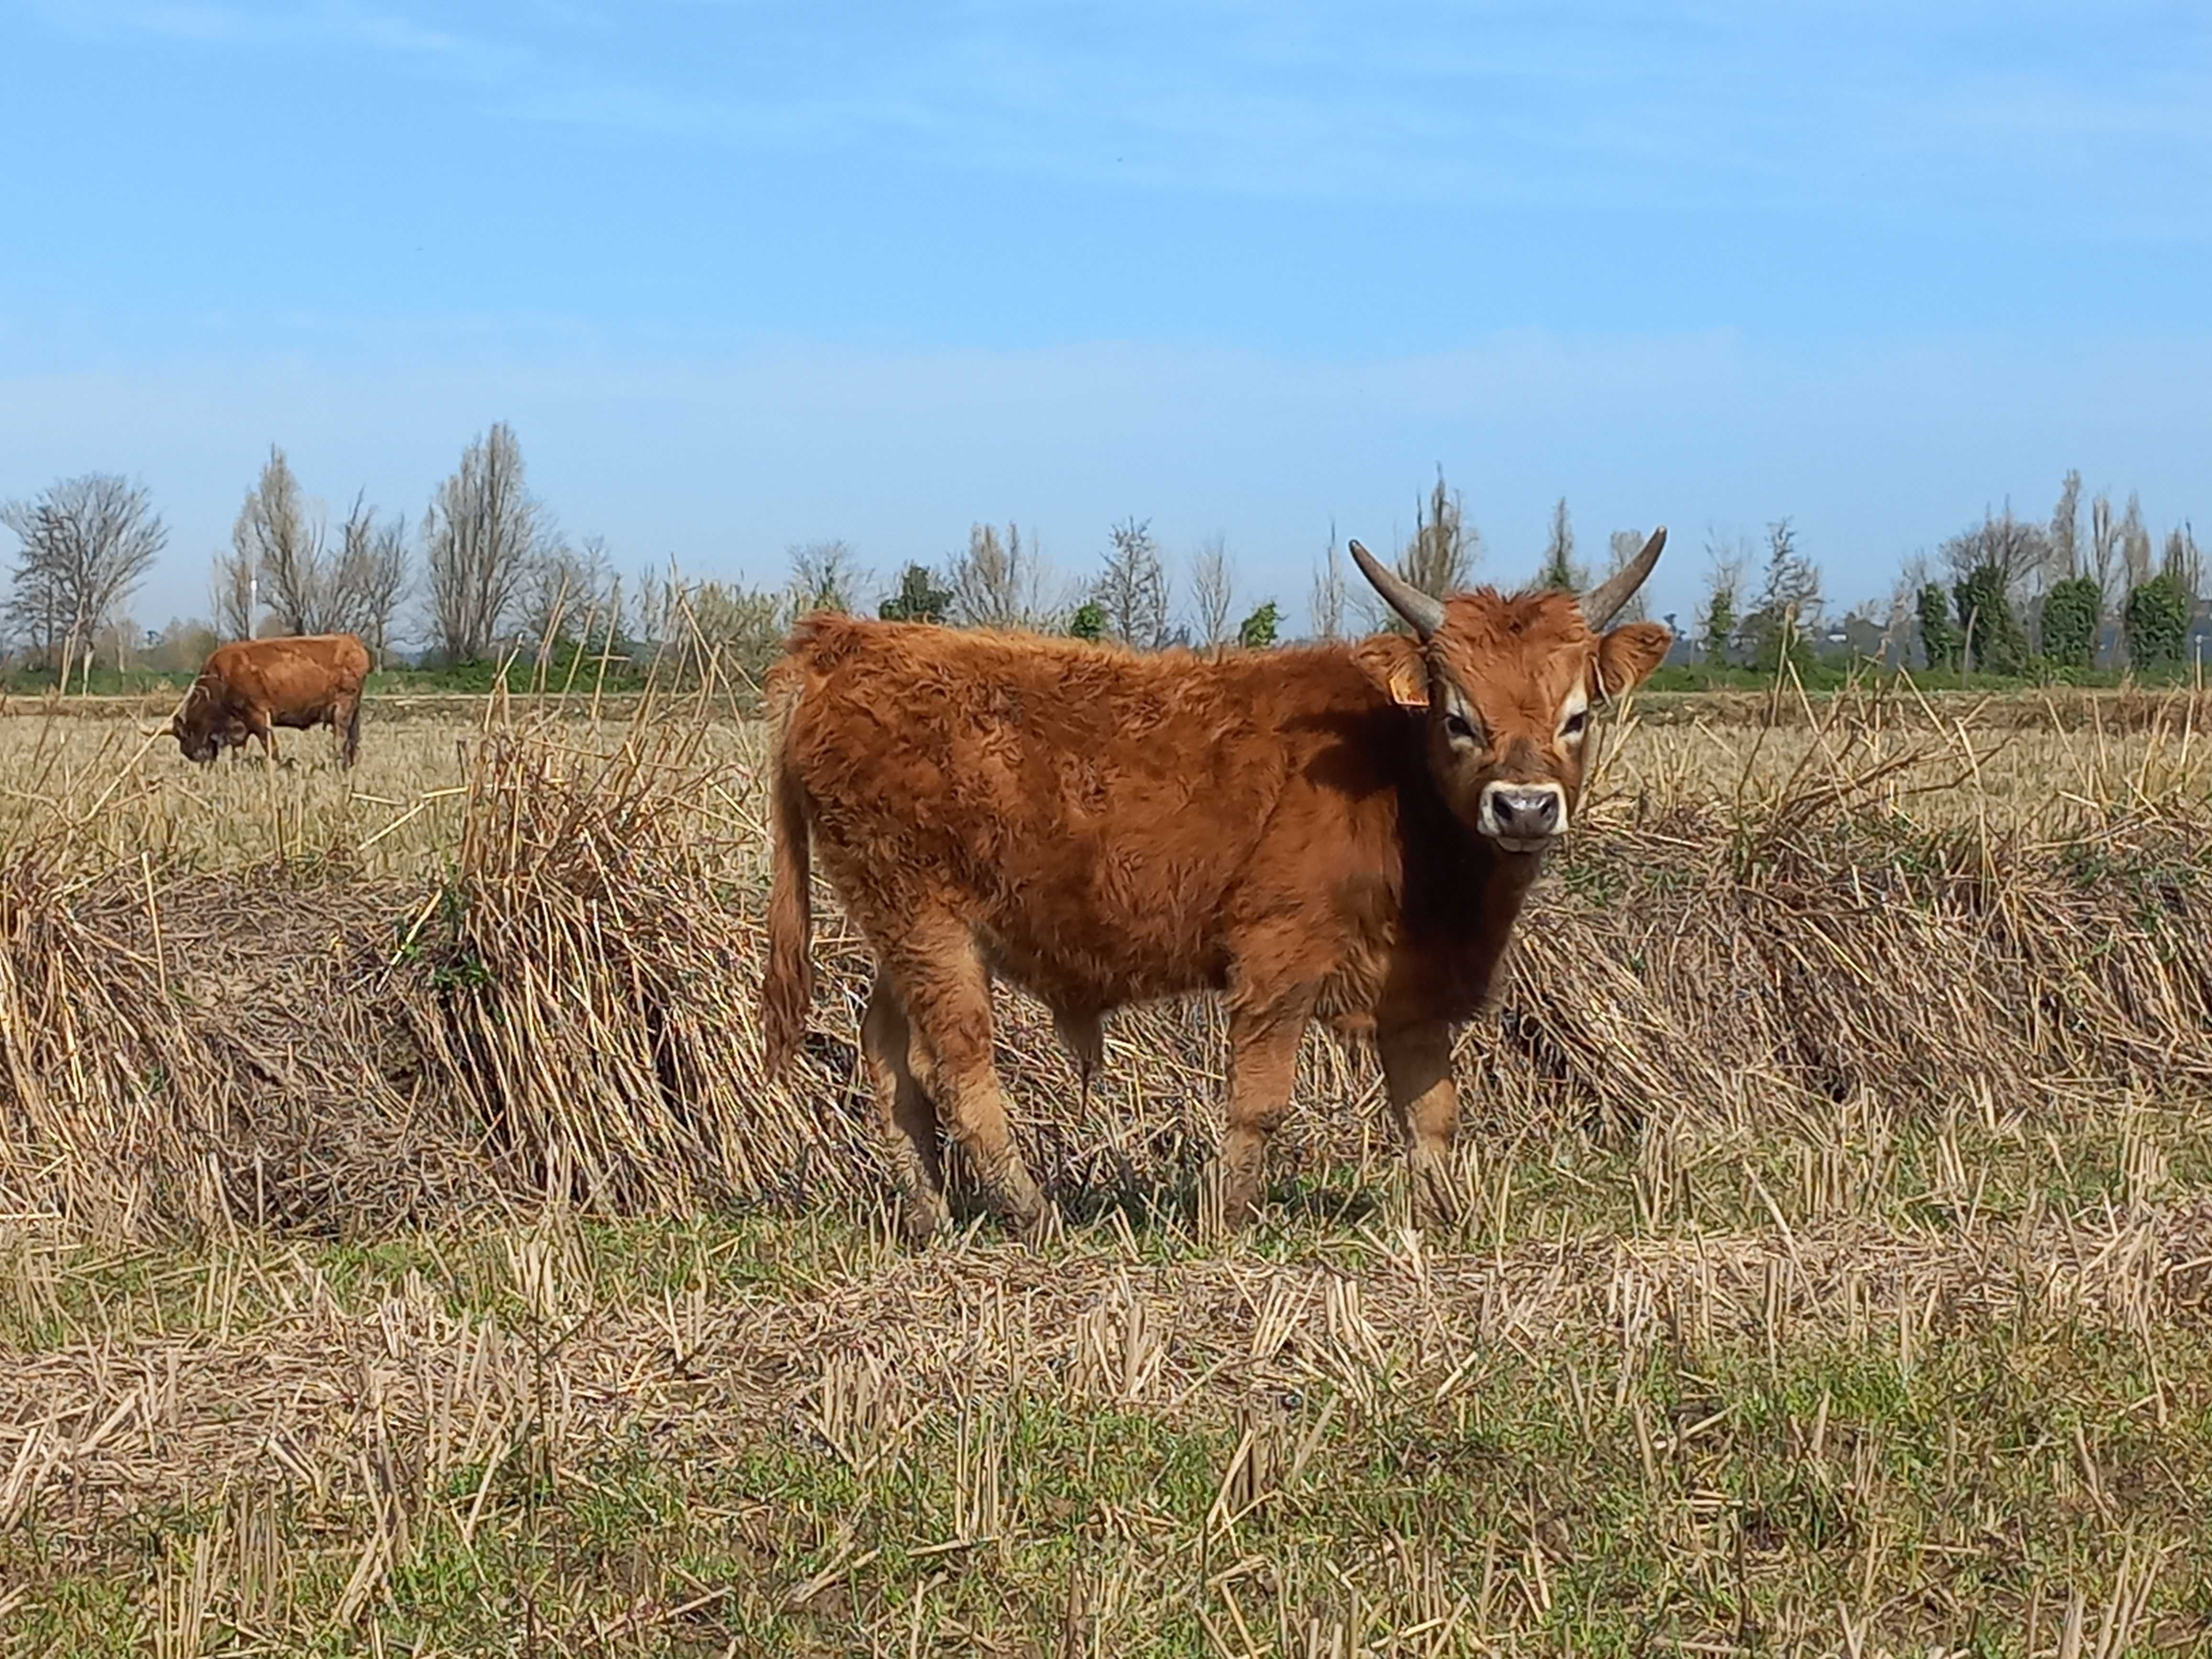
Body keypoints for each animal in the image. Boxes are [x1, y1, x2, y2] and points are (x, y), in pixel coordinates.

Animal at [164, 632, 371, 770]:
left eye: (185, 737)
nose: (194, 757)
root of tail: (351, 641)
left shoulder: (259, 716)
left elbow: (271, 747)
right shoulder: (240, 724)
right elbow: (238, 753)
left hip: (342, 709)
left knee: (340, 740)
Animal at [765, 533, 1672, 1247]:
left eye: (1576, 716)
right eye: (1458, 717)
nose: (1523, 805)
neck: (1392, 780)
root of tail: (849, 644)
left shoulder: (1411, 986)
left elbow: (1430, 1109)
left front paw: (1444, 1219)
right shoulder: (1278, 957)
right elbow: (1260, 1098)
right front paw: (1226, 1218)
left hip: (903, 931)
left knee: (888, 1058)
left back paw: (930, 1213)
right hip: (926, 921)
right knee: (956, 1065)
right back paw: (1031, 1213)